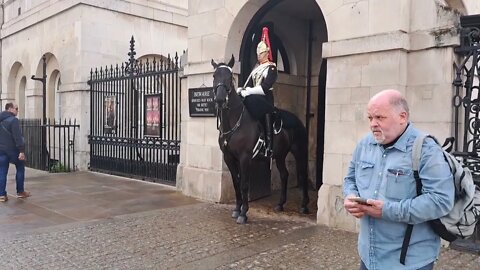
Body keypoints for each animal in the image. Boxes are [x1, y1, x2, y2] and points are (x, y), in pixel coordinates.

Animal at [211, 54, 310, 224]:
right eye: (214, 75)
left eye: (230, 77)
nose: (220, 99)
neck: (235, 121)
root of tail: (298, 120)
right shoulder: (229, 157)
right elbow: (236, 183)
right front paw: (236, 210)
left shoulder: (244, 157)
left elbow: (244, 184)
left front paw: (243, 213)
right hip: (280, 155)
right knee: (284, 175)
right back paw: (280, 204)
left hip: (299, 152)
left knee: (302, 175)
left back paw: (304, 206)